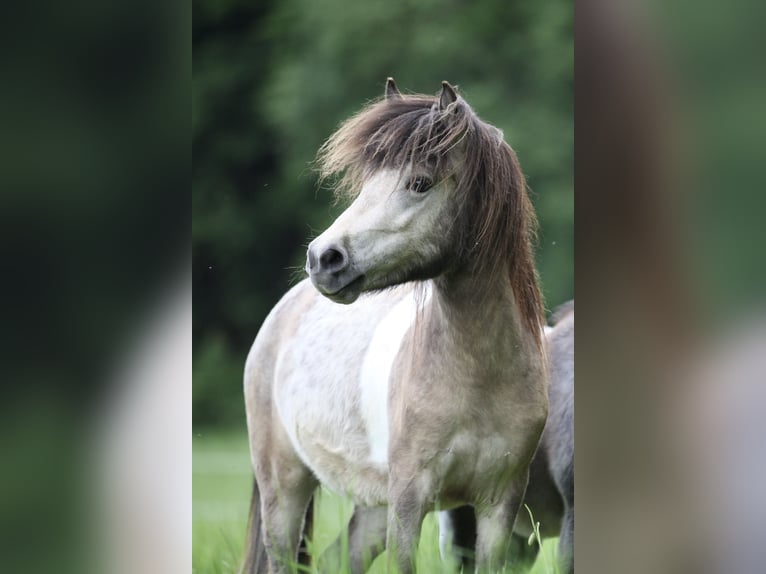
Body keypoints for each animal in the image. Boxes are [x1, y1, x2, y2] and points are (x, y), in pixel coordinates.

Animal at [243, 79, 548, 572]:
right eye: (368, 184)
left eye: (419, 183)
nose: (323, 259)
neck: (479, 373)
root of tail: (283, 313)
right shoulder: (408, 503)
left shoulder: (498, 508)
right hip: (284, 491)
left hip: (370, 509)